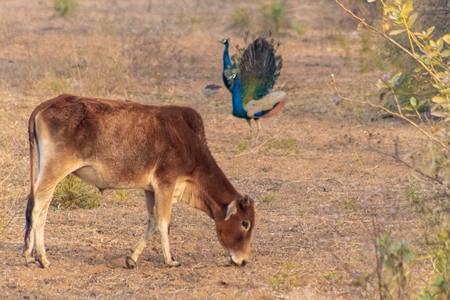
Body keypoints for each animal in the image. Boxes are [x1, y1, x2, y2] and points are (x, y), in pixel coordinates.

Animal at [22, 93, 255, 268]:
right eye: (245, 223)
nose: (243, 261)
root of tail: (45, 105)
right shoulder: (166, 184)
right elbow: (163, 222)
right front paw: (170, 260)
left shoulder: (150, 189)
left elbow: (152, 221)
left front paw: (132, 258)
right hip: (53, 171)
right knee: (37, 209)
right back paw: (41, 259)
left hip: (46, 172)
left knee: (38, 208)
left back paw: (31, 255)